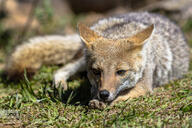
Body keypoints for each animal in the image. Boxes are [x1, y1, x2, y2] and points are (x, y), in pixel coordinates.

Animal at [3, 12, 190, 108]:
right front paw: (95, 99)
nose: (104, 94)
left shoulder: (144, 87)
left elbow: (121, 97)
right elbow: (94, 90)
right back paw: (61, 86)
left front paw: (104, 102)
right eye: (96, 71)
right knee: (61, 70)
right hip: (80, 60)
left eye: (121, 72)